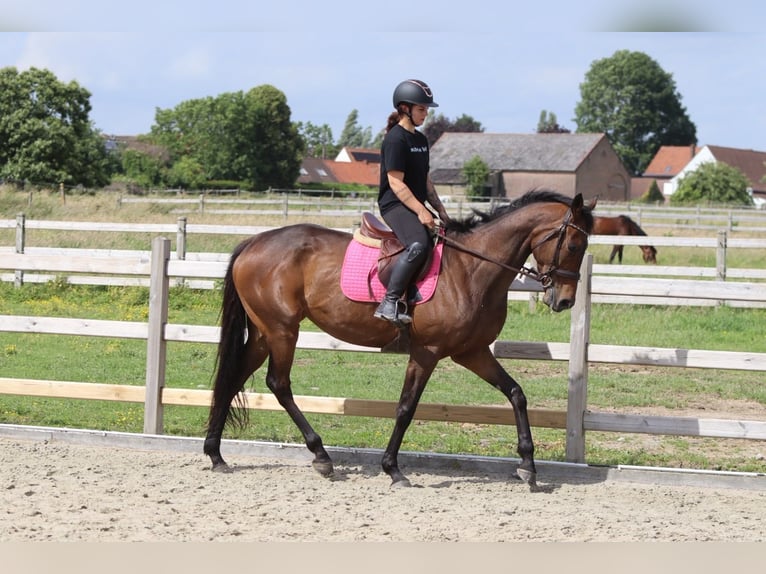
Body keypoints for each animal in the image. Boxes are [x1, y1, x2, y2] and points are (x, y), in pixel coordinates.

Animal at [204, 190, 594, 489]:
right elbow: (406, 408)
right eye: (575, 244)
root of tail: (253, 241)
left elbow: (516, 393)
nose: (564, 301)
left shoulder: (472, 351)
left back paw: (216, 454)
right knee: (278, 383)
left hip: (262, 332)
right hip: (283, 330)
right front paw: (393, 469)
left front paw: (528, 465)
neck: (472, 270)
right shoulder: (427, 352)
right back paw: (321, 456)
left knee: (233, 378)